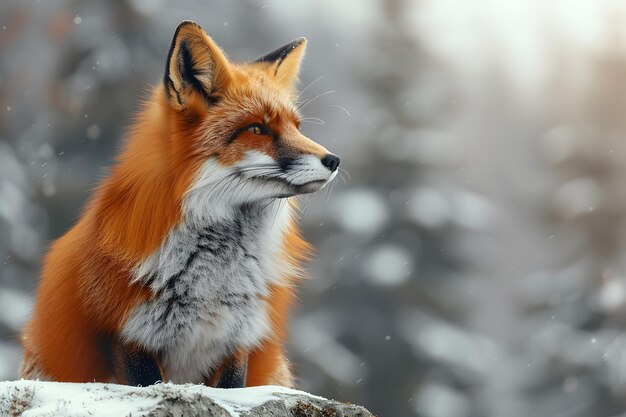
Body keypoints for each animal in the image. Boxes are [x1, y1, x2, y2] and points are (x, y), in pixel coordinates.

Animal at [19, 21, 338, 386]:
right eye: (257, 128)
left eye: (297, 127)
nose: (334, 160)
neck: (214, 276)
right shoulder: (128, 335)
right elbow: (147, 381)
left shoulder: (238, 338)